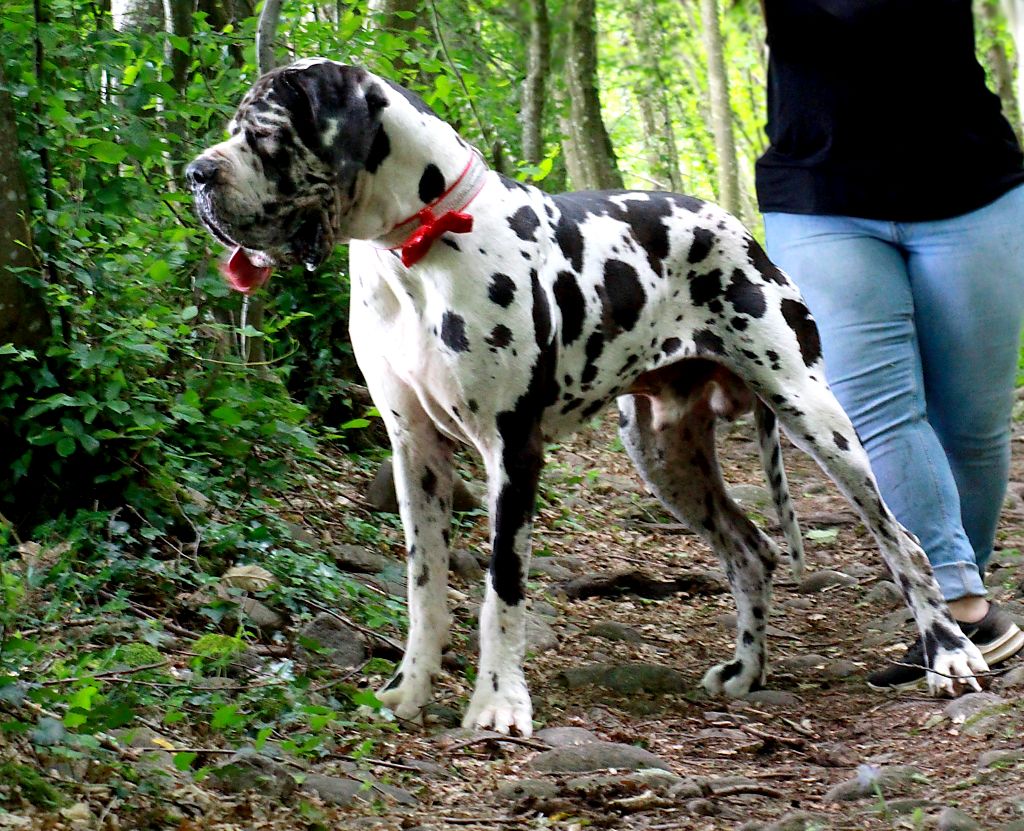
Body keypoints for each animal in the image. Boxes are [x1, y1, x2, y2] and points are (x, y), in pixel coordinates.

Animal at [188, 56, 987, 732]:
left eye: (265, 131)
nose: (195, 173)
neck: (417, 247)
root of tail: (734, 224)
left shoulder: (512, 449)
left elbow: (502, 585)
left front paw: (499, 704)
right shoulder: (414, 451)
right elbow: (423, 586)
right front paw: (410, 690)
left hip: (813, 414)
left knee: (902, 541)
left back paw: (949, 655)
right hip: (665, 456)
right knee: (751, 551)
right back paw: (747, 671)